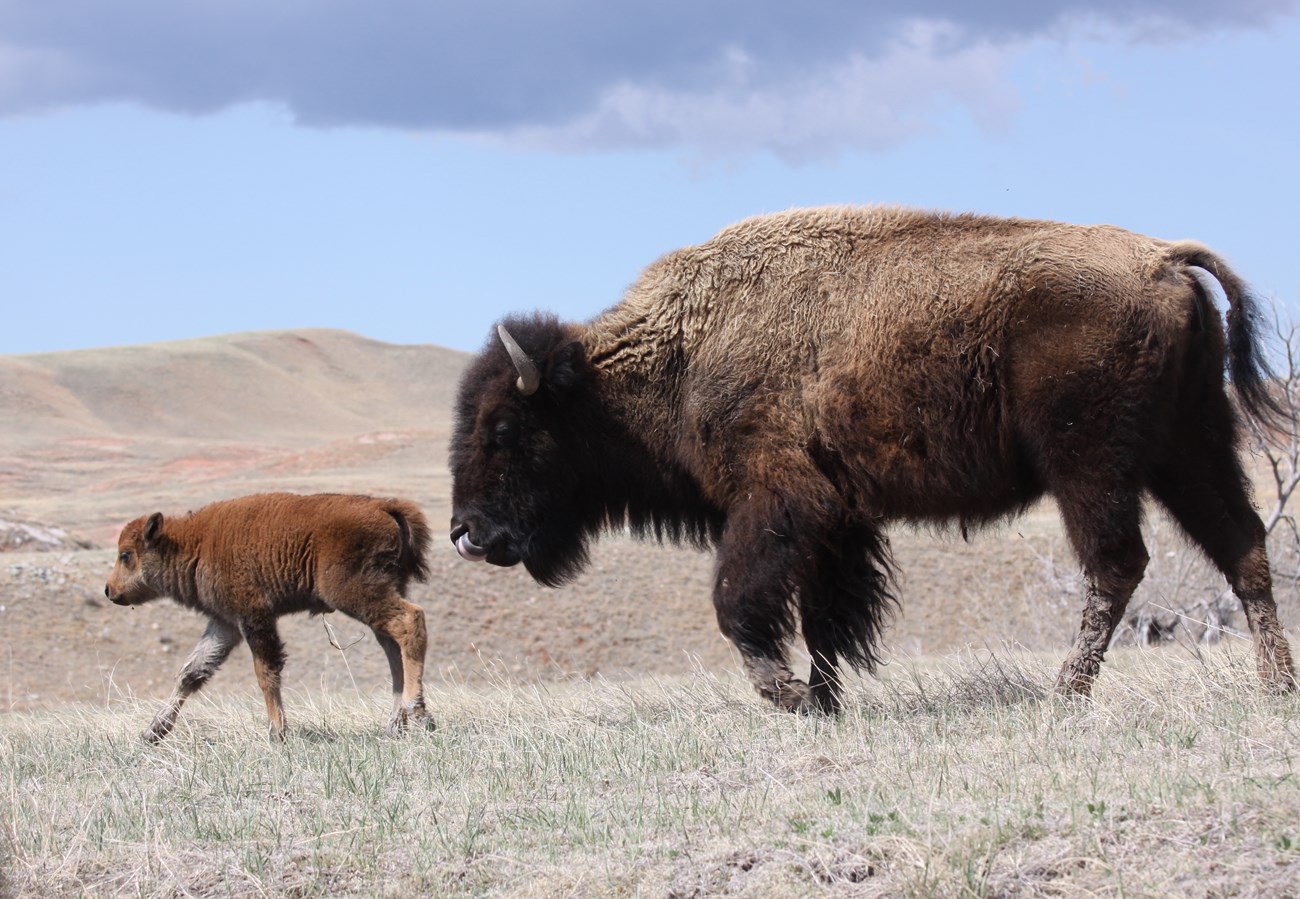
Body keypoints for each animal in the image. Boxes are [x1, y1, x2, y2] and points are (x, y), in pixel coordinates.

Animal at [106, 496, 431, 743]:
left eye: (125, 555)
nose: (109, 590)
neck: (194, 542)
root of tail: (384, 506)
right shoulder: (225, 623)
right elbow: (191, 673)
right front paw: (153, 731)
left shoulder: (254, 617)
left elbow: (265, 673)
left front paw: (277, 732)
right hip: (380, 596)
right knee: (394, 650)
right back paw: (396, 725)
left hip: (354, 594)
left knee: (411, 621)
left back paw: (419, 713)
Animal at [444, 206, 1289, 711]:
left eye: (504, 428)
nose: (465, 532)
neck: (683, 348)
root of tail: (1165, 260)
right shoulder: (838, 518)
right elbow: (825, 616)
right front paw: (825, 699)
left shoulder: (778, 498)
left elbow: (738, 600)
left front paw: (788, 694)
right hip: (1190, 447)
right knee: (1243, 545)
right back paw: (1276, 685)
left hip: (1091, 465)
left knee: (1117, 565)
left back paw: (1065, 692)